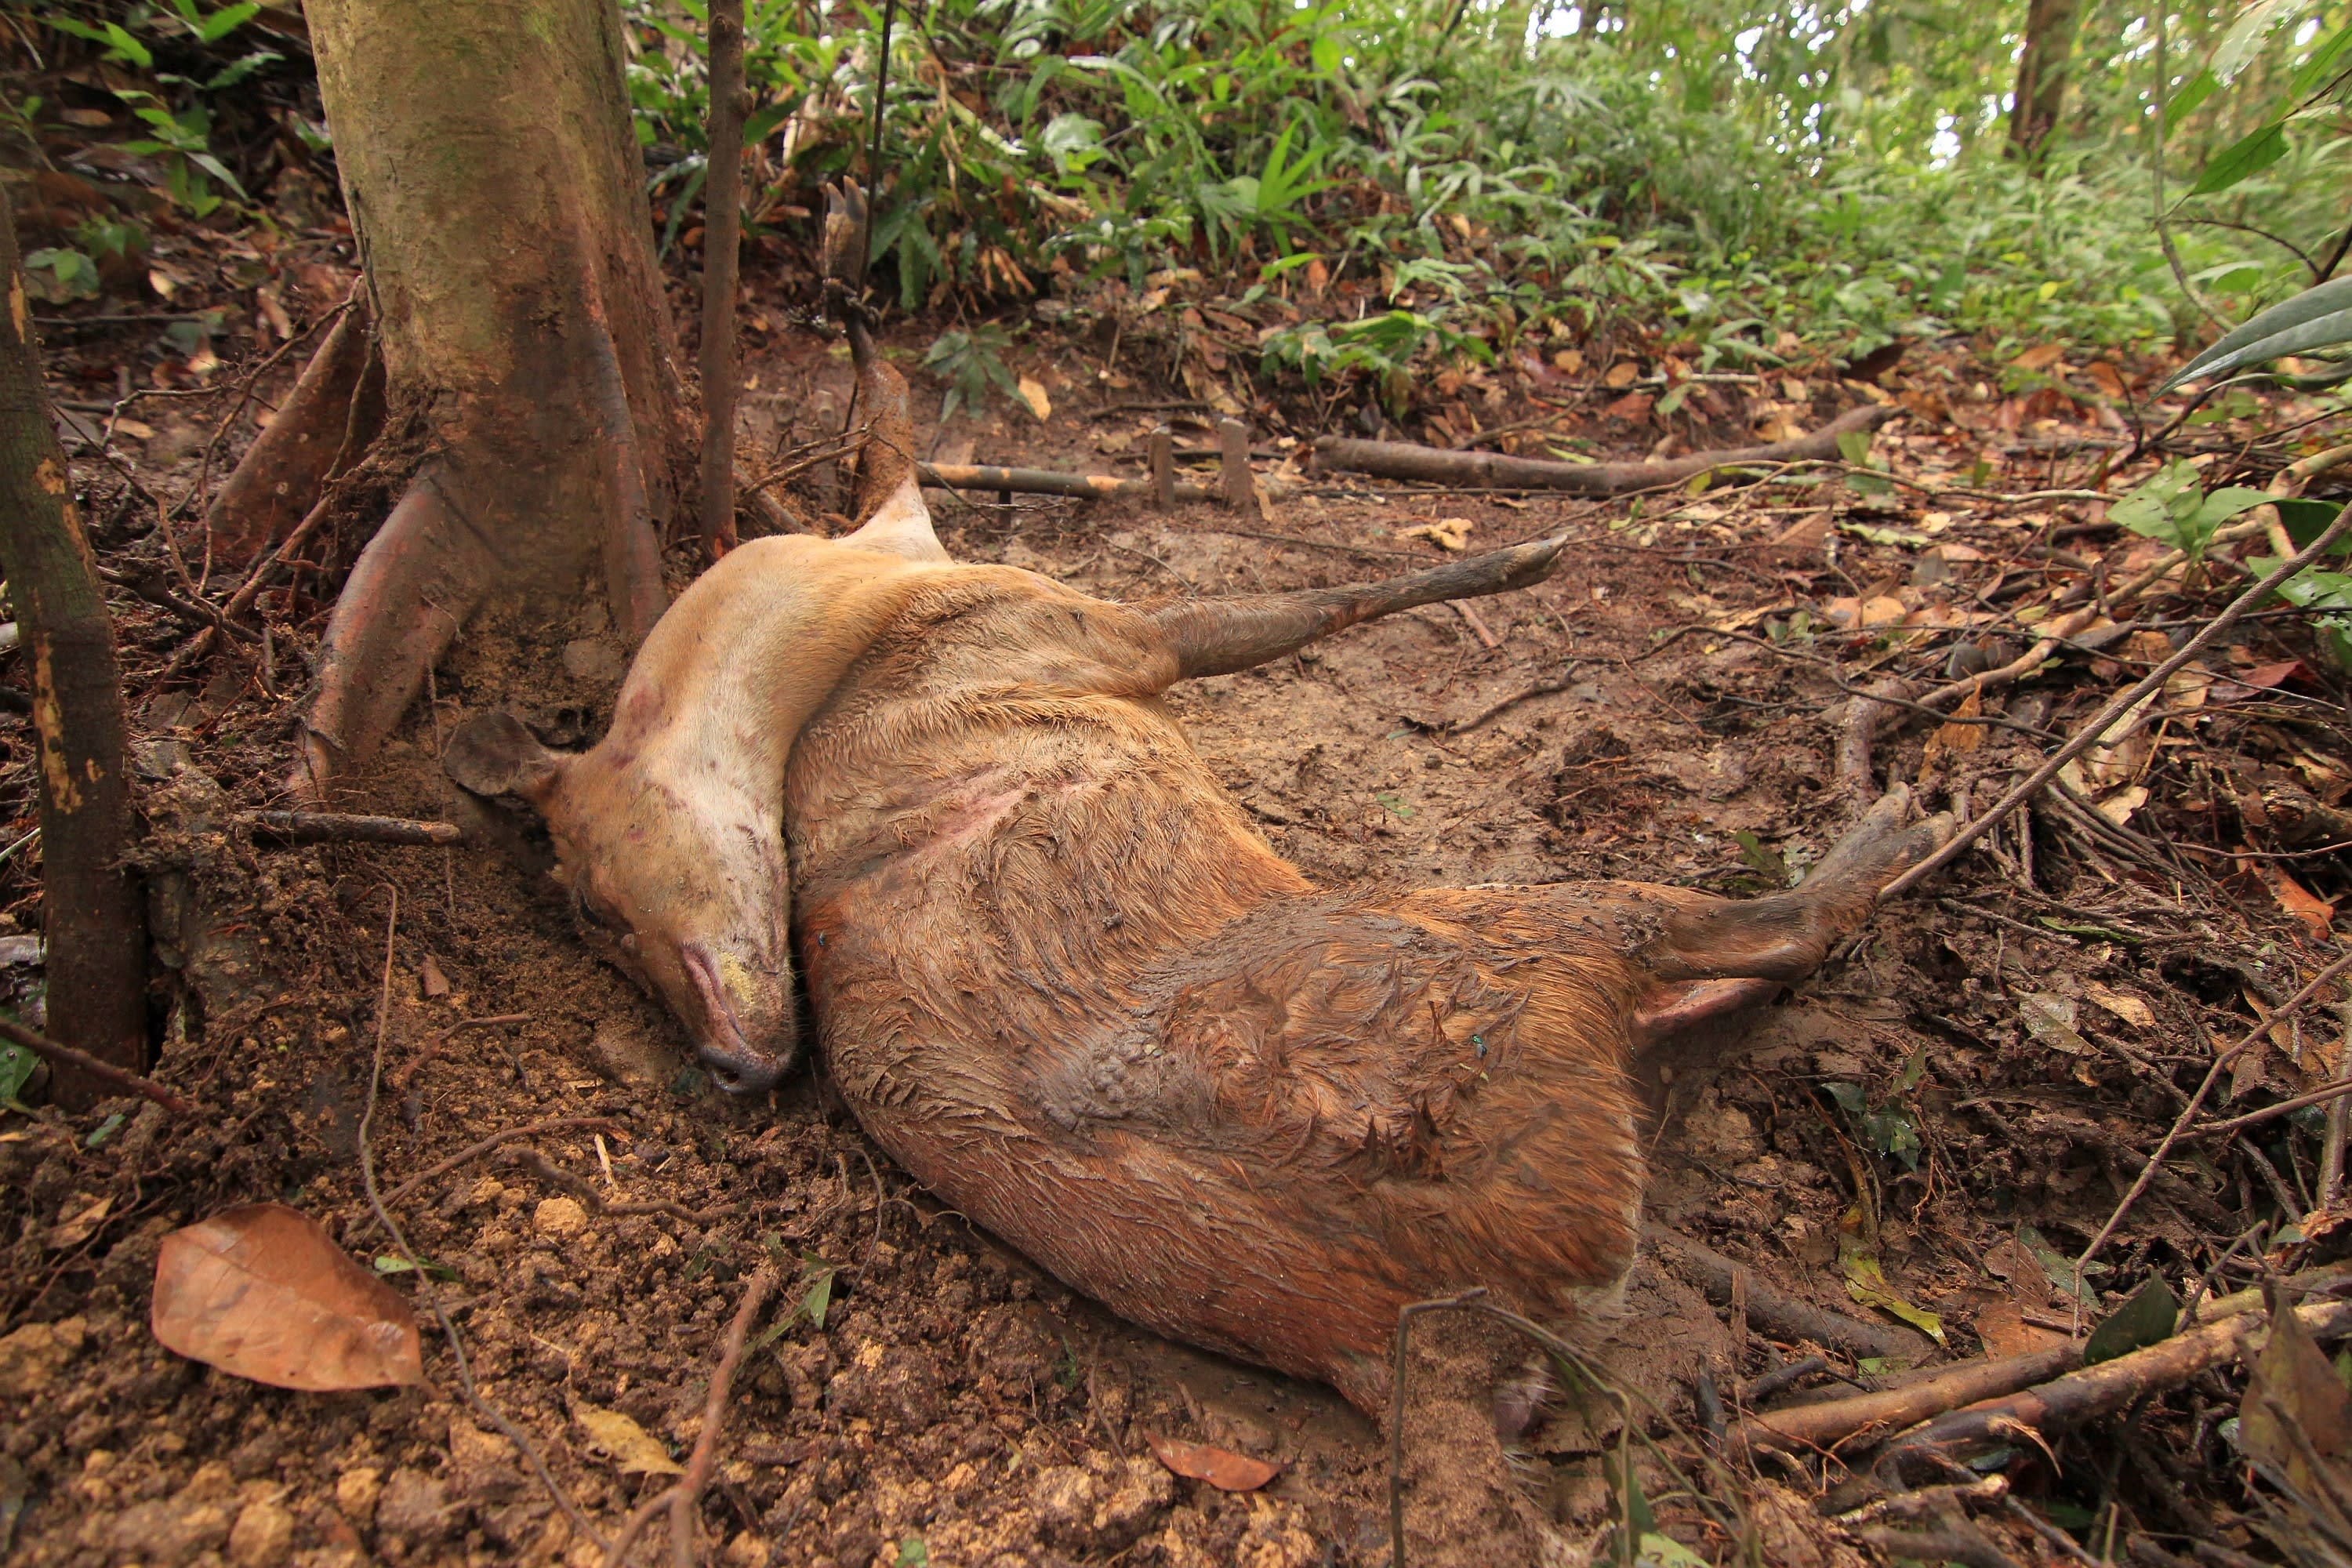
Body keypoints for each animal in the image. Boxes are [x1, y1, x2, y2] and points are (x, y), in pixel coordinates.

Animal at [446, 184, 1950, 1563]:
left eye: (585, 903)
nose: (724, 1062)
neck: (857, 622)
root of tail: (1428, 1340)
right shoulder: (1108, 634)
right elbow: (1322, 599)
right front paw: (1523, 551)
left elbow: (896, 433)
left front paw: (858, 295)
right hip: (1513, 950)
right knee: (1768, 926)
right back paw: (1899, 818)